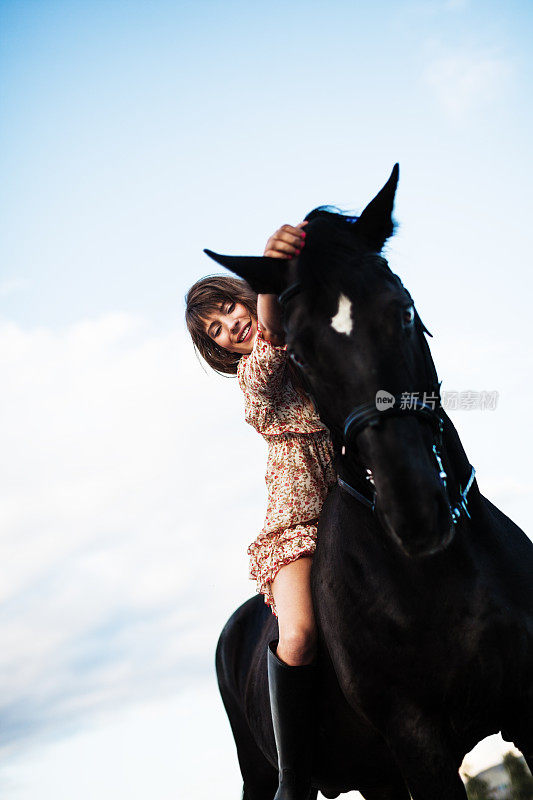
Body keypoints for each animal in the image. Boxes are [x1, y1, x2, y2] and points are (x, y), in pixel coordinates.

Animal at [205, 166, 532, 796]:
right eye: (298, 354)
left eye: (403, 310)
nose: (415, 512)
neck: (442, 572)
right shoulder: (417, 742)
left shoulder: (532, 710)